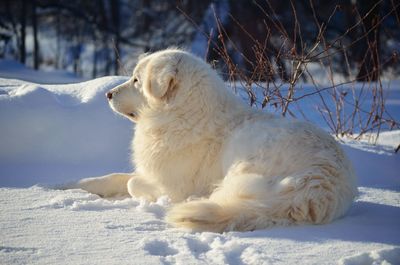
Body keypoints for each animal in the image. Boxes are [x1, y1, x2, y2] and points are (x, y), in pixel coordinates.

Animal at [76, 48, 358, 230]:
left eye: (136, 80)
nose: (108, 94)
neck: (183, 115)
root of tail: (322, 181)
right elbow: (115, 177)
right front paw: (77, 184)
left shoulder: (172, 186)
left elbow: (132, 183)